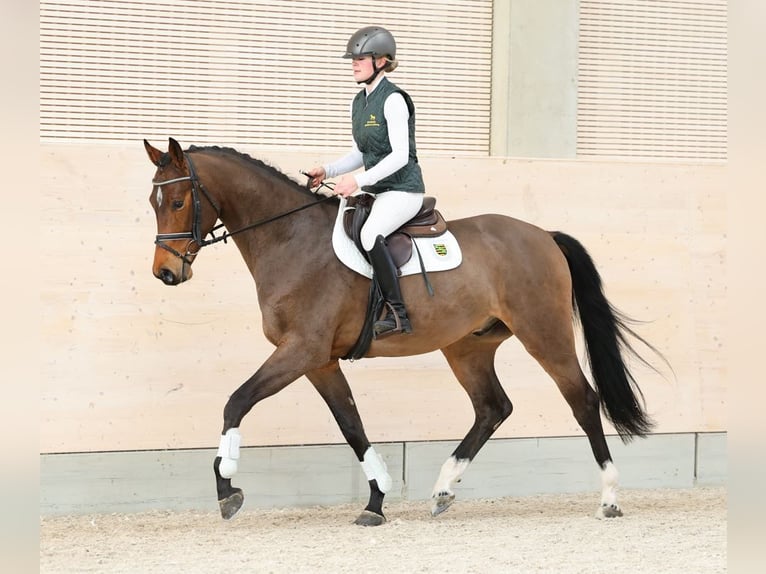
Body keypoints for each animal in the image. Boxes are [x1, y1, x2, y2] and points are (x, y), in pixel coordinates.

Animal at [144, 137, 663, 526]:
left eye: (178, 201)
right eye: (154, 203)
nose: (165, 273)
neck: (291, 240)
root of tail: (543, 235)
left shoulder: (301, 350)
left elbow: (237, 401)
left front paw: (226, 485)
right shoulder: (319, 361)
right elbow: (351, 425)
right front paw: (376, 502)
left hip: (544, 334)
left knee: (583, 400)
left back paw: (609, 499)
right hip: (467, 347)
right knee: (492, 408)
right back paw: (443, 491)